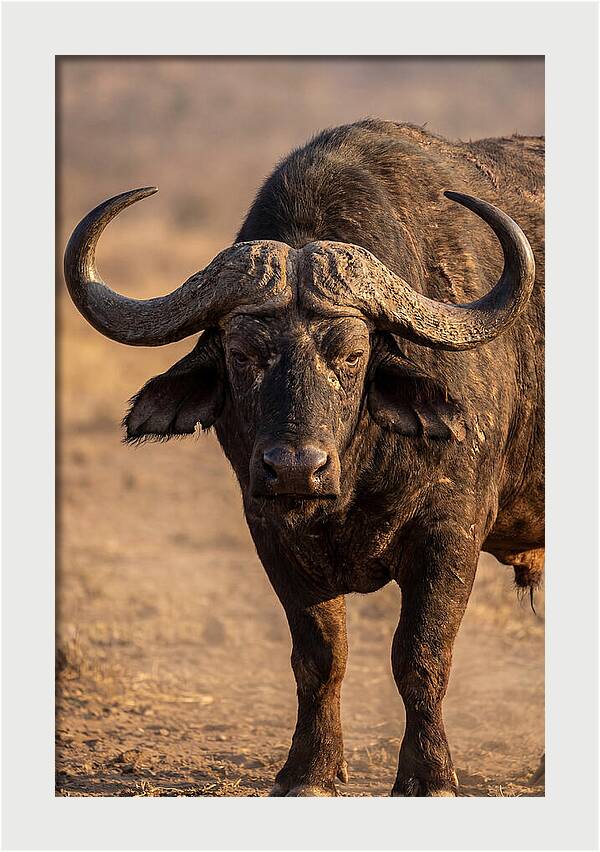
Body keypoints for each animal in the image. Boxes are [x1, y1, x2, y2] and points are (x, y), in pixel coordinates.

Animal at [64, 119, 544, 797]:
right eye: (242, 354)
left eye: (351, 354)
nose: (294, 468)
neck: (353, 477)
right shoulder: (270, 531)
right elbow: (320, 655)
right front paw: (309, 770)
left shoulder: (451, 531)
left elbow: (421, 655)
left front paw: (429, 775)